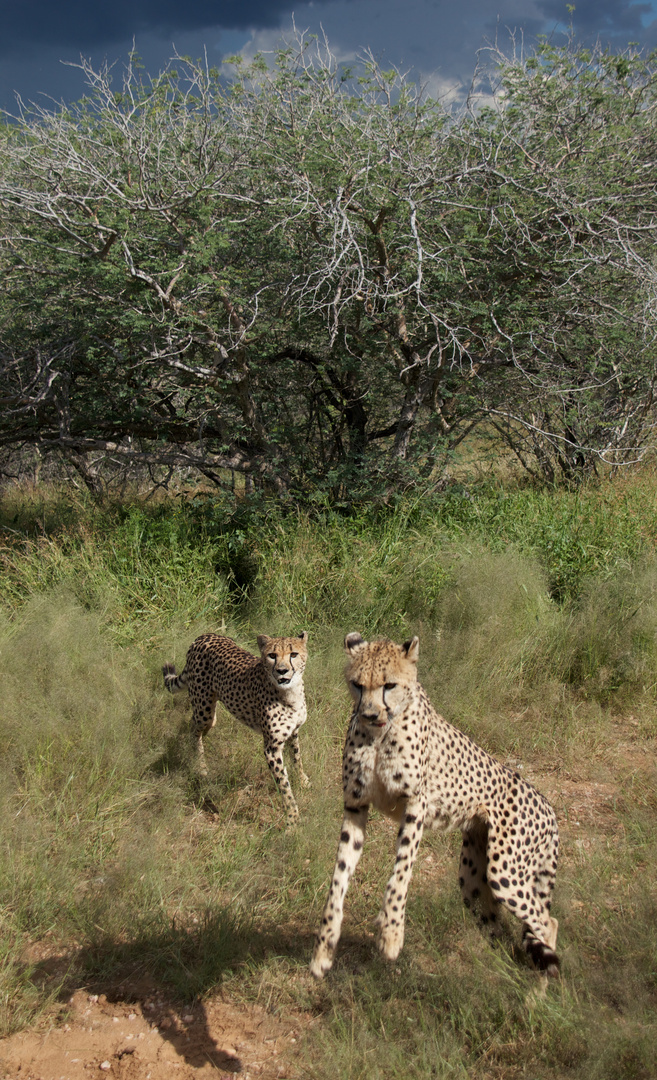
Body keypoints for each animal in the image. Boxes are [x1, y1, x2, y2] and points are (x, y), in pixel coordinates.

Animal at [311, 630, 557, 980]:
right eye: (357, 684)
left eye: (389, 685)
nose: (369, 713)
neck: (379, 734)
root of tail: (548, 806)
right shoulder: (356, 806)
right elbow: (338, 878)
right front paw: (324, 946)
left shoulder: (416, 805)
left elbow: (401, 872)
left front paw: (391, 934)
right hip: (474, 881)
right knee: (499, 925)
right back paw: (500, 971)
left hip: (506, 874)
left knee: (548, 923)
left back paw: (537, 991)